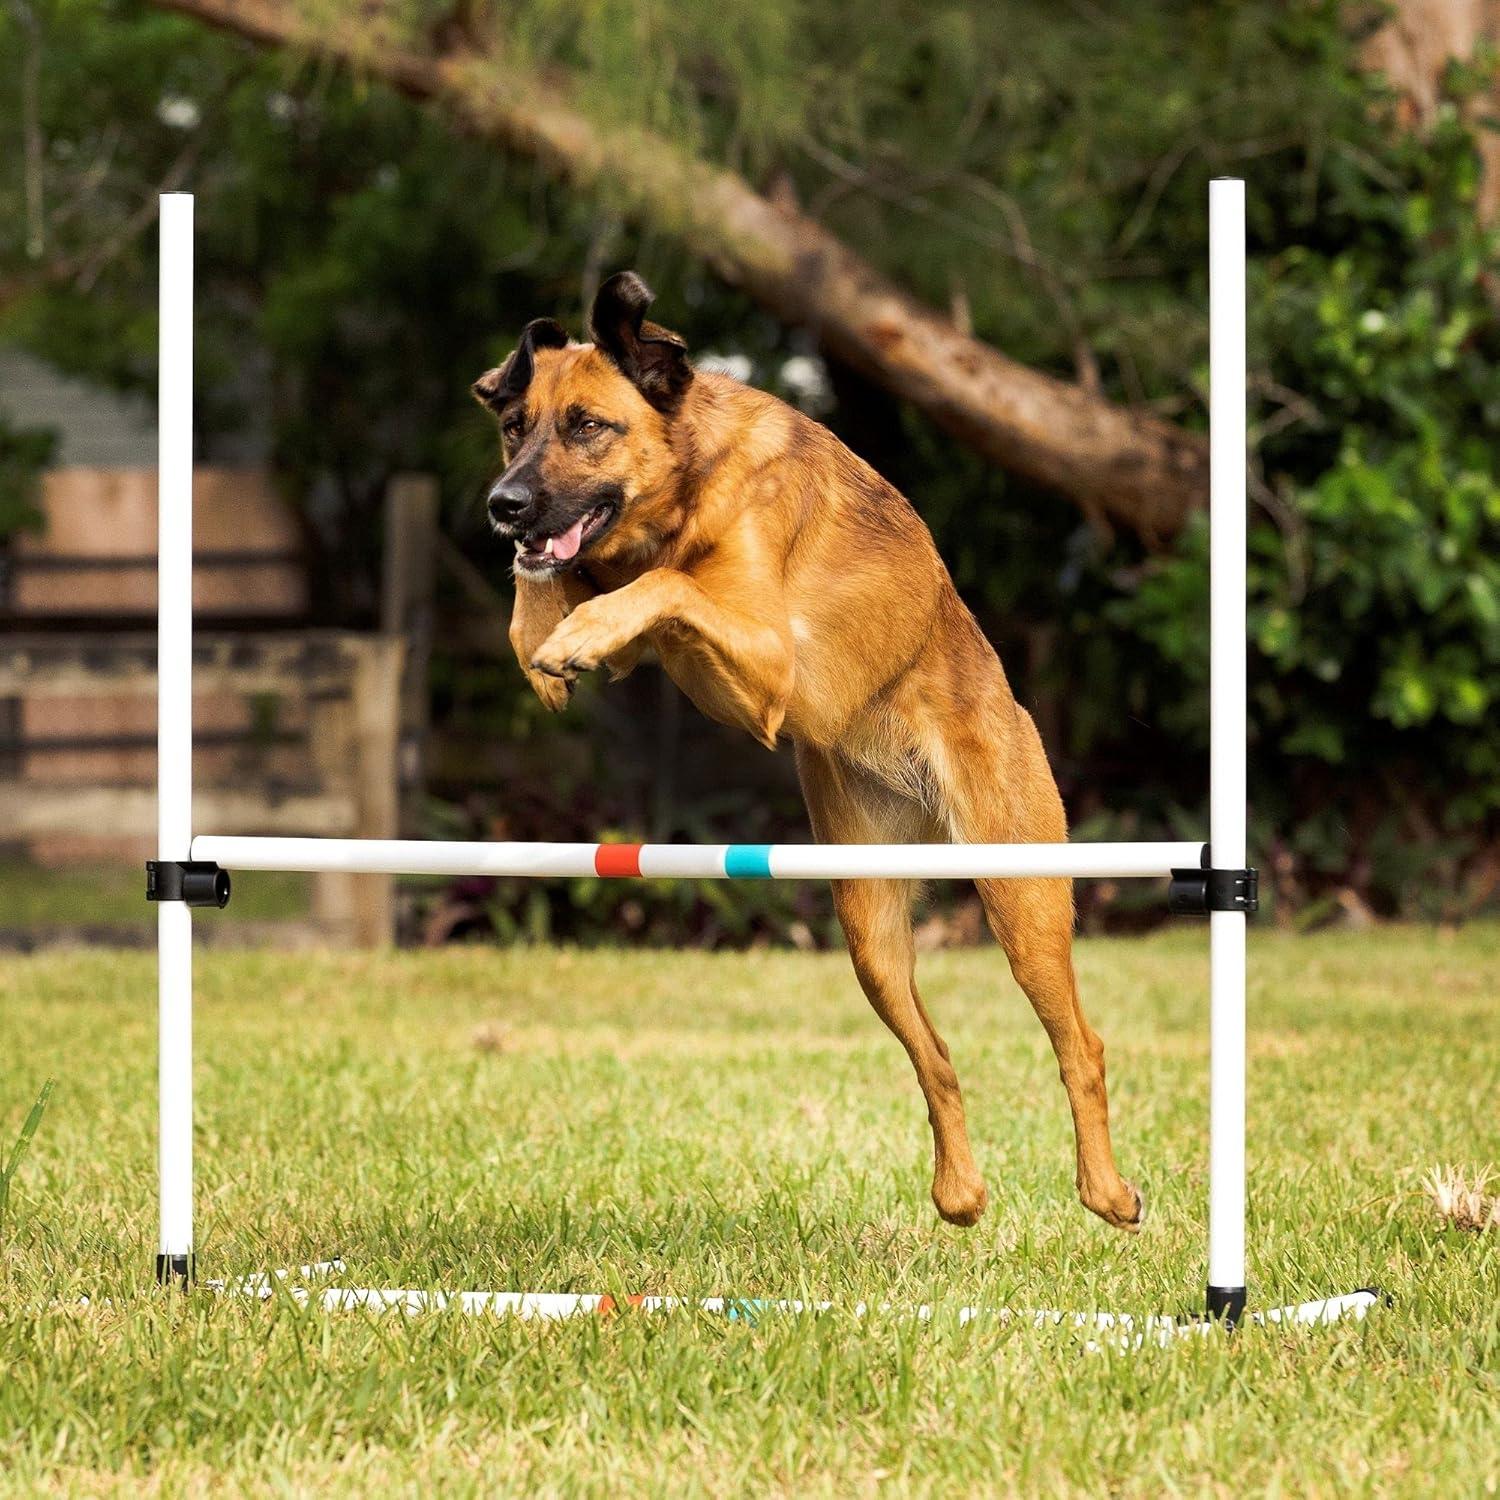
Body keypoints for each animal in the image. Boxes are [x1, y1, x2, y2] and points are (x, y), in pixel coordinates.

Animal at [474, 273, 1140, 1230]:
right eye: (513, 427)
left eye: (587, 425)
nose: (503, 506)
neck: (688, 486)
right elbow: (573, 586)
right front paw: (544, 639)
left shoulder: (763, 666)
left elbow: (663, 586)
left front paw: (577, 631)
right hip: (868, 925)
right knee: (936, 1057)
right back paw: (961, 1192)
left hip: (1022, 897)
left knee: (1079, 1043)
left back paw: (1107, 1192)